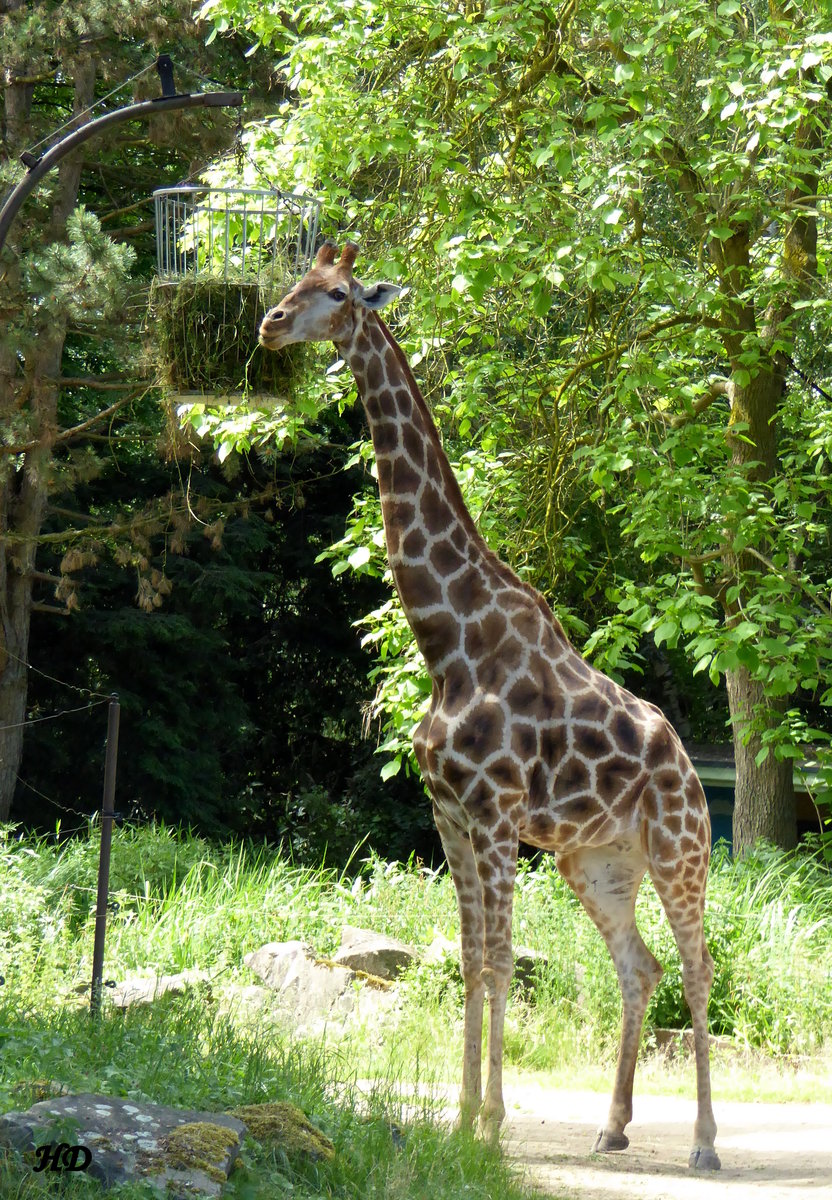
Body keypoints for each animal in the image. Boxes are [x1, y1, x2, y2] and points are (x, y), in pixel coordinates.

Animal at [259, 243, 720, 1171]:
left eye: (337, 294)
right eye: (292, 281)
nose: (270, 325)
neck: (447, 640)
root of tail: (690, 766)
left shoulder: (498, 810)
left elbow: (502, 961)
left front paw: (495, 1125)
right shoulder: (449, 812)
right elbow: (470, 961)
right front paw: (466, 1119)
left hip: (677, 850)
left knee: (696, 970)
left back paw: (703, 1144)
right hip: (597, 862)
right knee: (641, 967)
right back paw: (612, 1127)